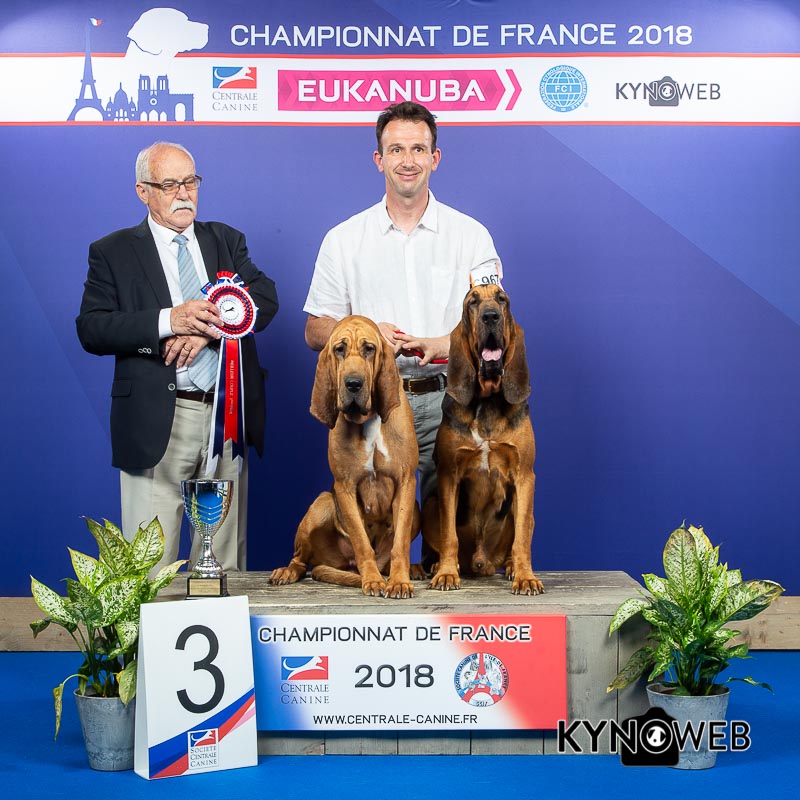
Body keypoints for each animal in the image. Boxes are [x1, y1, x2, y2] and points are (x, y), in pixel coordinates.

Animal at [270, 316, 420, 598]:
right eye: (339, 349)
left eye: (369, 349)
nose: (353, 384)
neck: (368, 419)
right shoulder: (345, 488)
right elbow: (362, 542)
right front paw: (372, 580)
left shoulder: (405, 481)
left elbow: (400, 544)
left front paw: (398, 581)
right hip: (322, 504)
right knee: (301, 559)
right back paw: (287, 571)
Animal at [424, 284, 543, 595]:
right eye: (472, 303)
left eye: (502, 299)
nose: (490, 316)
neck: (487, 401)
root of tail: (481, 562)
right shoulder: (449, 476)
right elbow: (449, 535)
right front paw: (446, 574)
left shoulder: (524, 476)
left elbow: (521, 538)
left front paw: (525, 576)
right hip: (429, 503)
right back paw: (438, 566)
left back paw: (512, 567)